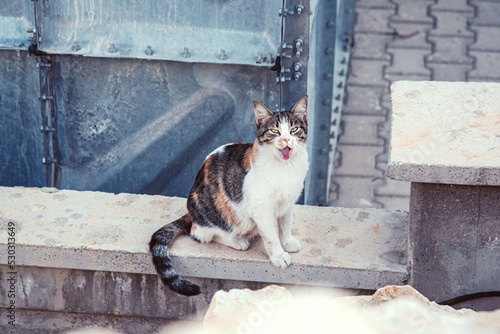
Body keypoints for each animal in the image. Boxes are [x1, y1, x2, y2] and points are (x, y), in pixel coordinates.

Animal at [149, 95, 308, 296]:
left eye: (294, 129)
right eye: (275, 131)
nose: (286, 139)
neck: (285, 168)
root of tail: (190, 214)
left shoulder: (288, 203)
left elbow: (285, 226)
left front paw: (287, 242)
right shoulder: (261, 208)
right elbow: (271, 236)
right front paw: (278, 255)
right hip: (224, 214)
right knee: (201, 233)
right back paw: (237, 241)